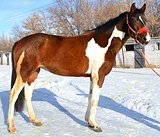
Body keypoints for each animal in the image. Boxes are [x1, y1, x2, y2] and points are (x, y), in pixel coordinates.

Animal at [7, 3, 150, 133]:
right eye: (134, 19)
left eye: (145, 19)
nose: (146, 39)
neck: (104, 43)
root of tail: (20, 42)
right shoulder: (99, 76)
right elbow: (95, 100)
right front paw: (95, 125)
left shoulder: (92, 77)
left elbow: (90, 97)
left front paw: (89, 122)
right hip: (24, 73)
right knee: (13, 94)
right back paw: (12, 127)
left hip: (33, 73)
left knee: (27, 94)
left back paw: (35, 120)